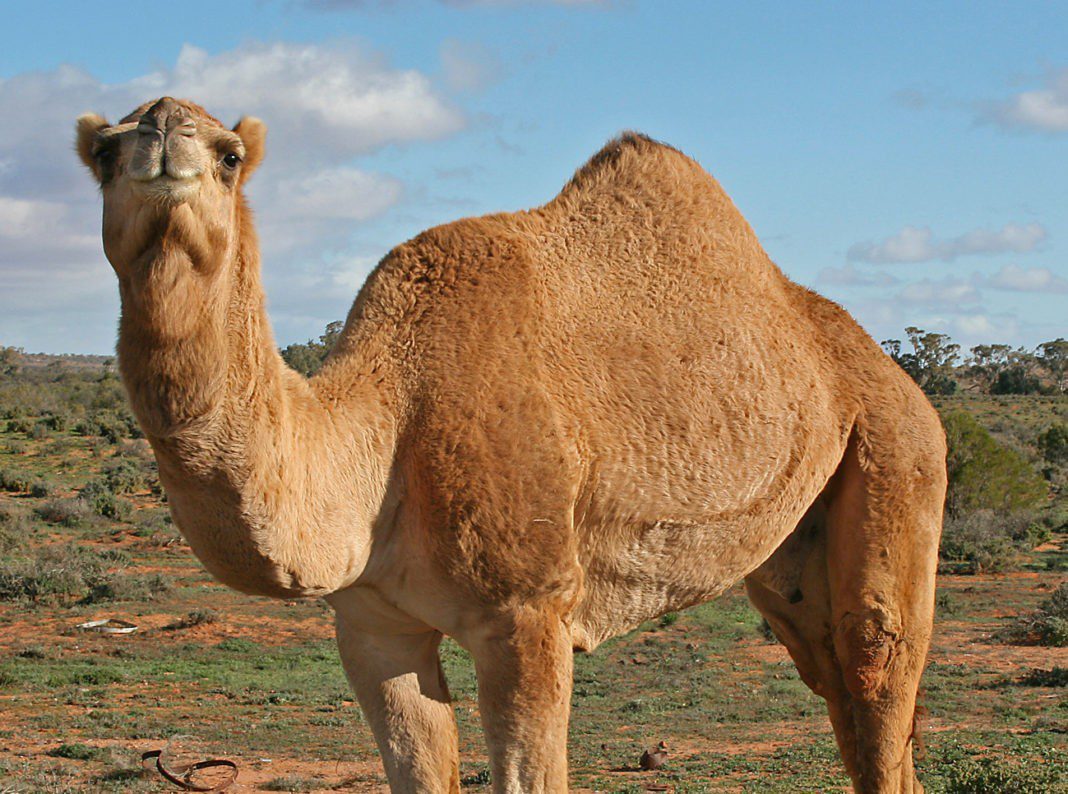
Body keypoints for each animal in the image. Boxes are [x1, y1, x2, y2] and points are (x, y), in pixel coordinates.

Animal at [76, 97, 945, 793]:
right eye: (103, 152)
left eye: (230, 154)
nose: (162, 132)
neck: (385, 430)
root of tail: (897, 380)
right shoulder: (372, 625)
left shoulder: (527, 611)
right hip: (793, 549)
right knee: (837, 681)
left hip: (896, 452)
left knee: (874, 667)